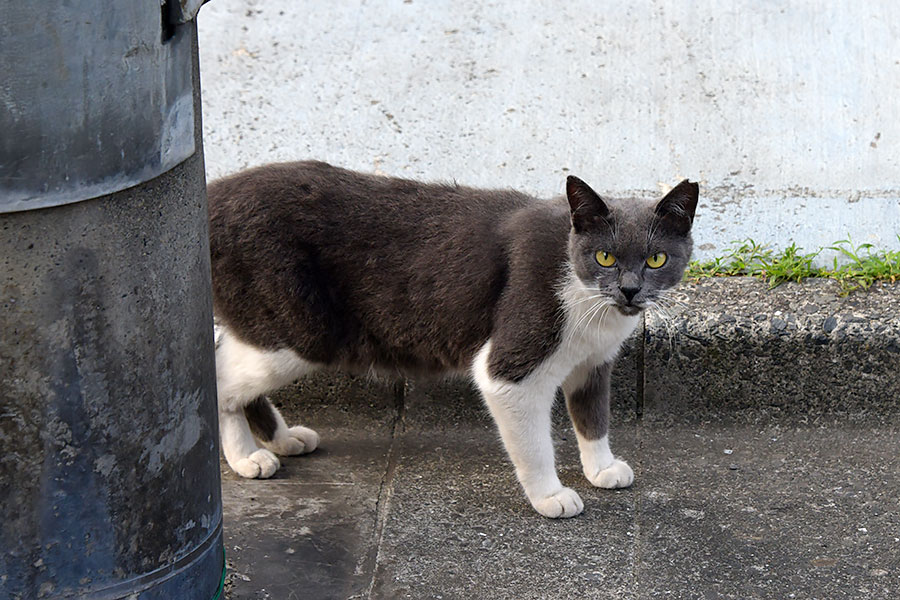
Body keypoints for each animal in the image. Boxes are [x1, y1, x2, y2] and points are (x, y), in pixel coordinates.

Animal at [207, 162, 700, 516]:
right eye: (605, 257)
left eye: (657, 259)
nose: (630, 290)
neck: (589, 300)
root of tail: (213, 195)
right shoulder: (511, 367)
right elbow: (534, 442)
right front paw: (550, 496)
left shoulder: (593, 363)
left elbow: (593, 416)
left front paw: (602, 468)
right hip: (297, 331)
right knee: (220, 380)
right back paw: (247, 458)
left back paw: (282, 439)